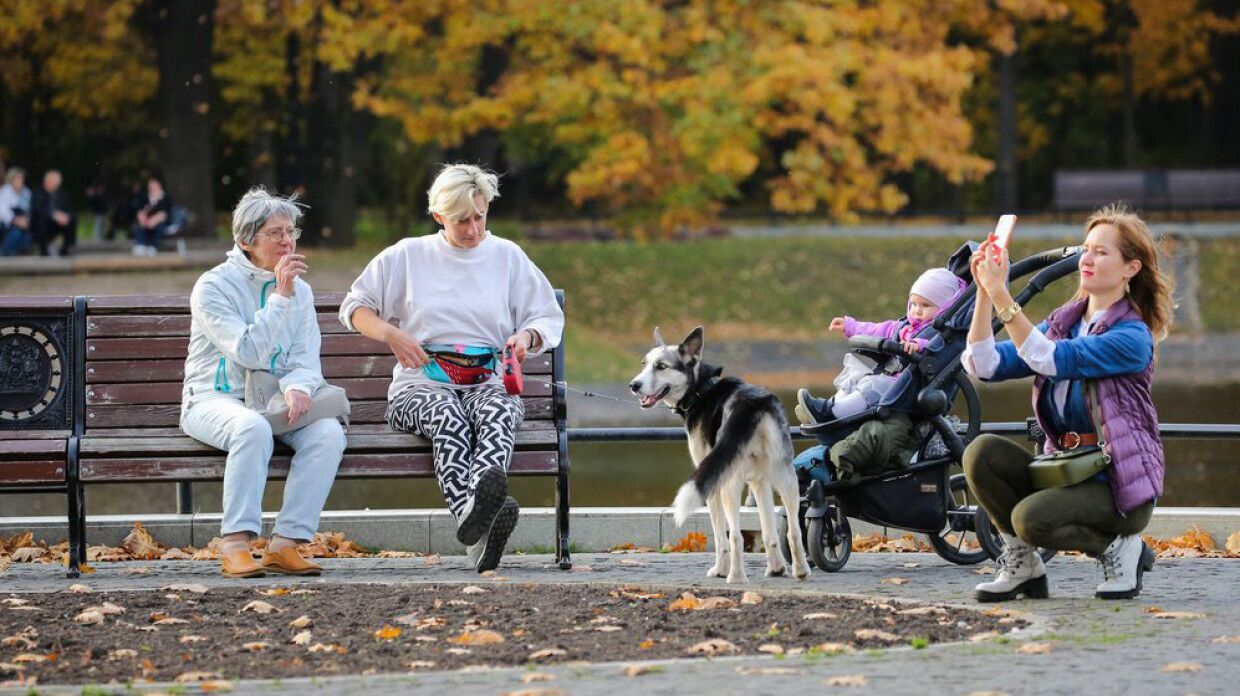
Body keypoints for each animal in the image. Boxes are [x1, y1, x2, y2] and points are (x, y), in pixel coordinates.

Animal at [629, 325, 813, 580]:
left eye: (661, 366)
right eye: (643, 364)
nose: (633, 385)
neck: (700, 390)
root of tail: (752, 404)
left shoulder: (711, 484)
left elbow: (719, 537)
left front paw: (719, 569)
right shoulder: (759, 481)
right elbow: (769, 531)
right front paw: (775, 568)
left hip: (729, 483)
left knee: (734, 535)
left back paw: (734, 577)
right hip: (786, 476)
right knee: (793, 530)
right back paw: (800, 571)